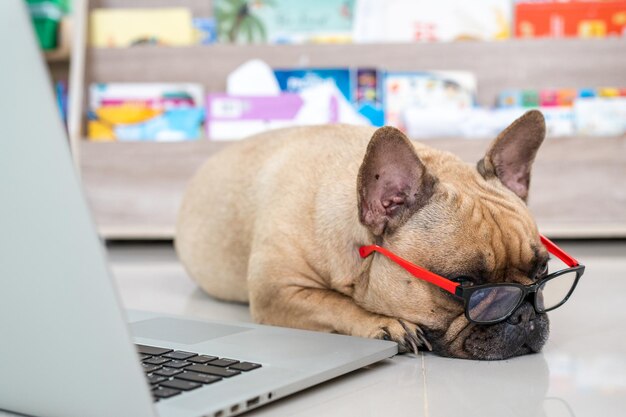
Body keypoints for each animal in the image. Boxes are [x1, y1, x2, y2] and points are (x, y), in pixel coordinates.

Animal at [174, 109, 544, 358]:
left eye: (543, 270)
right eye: (464, 284)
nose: (526, 312)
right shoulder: (277, 291)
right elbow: (332, 302)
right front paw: (386, 323)